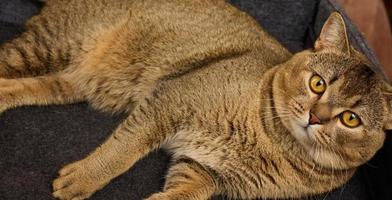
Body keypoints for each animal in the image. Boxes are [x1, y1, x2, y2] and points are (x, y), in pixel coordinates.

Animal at [0, 0, 390, 200]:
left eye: (351, 119)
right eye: (317, 83)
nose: (316, 116)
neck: (275, 144)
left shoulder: (201, 171)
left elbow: (178, 195)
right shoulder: (169, 101)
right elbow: (123, 152)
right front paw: (84, 177)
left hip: (72, 78)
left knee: (25, 87)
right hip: (51, 46)